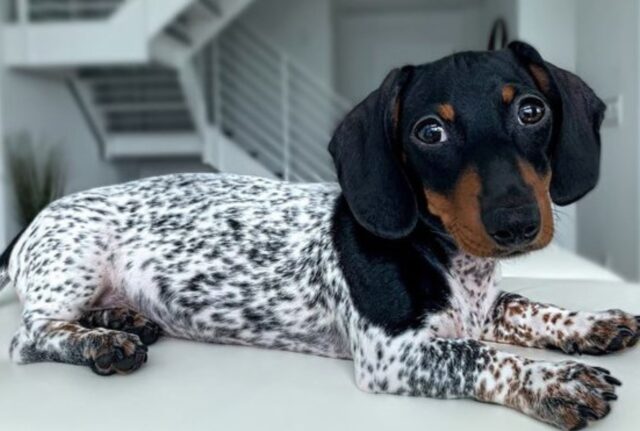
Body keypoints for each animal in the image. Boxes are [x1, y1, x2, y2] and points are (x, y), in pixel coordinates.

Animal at [2, 41, 636, 431]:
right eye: (430, 131)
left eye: (531, 111)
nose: (516, 222)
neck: (445, 256)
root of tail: (31, 223)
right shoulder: (392, 354)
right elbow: (483, 356)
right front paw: (551, 379)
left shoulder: (482, 307)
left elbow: (527, 306)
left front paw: (590, 324)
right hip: (78, 262)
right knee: (29, 336)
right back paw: (100, 342)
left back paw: (120, 318)